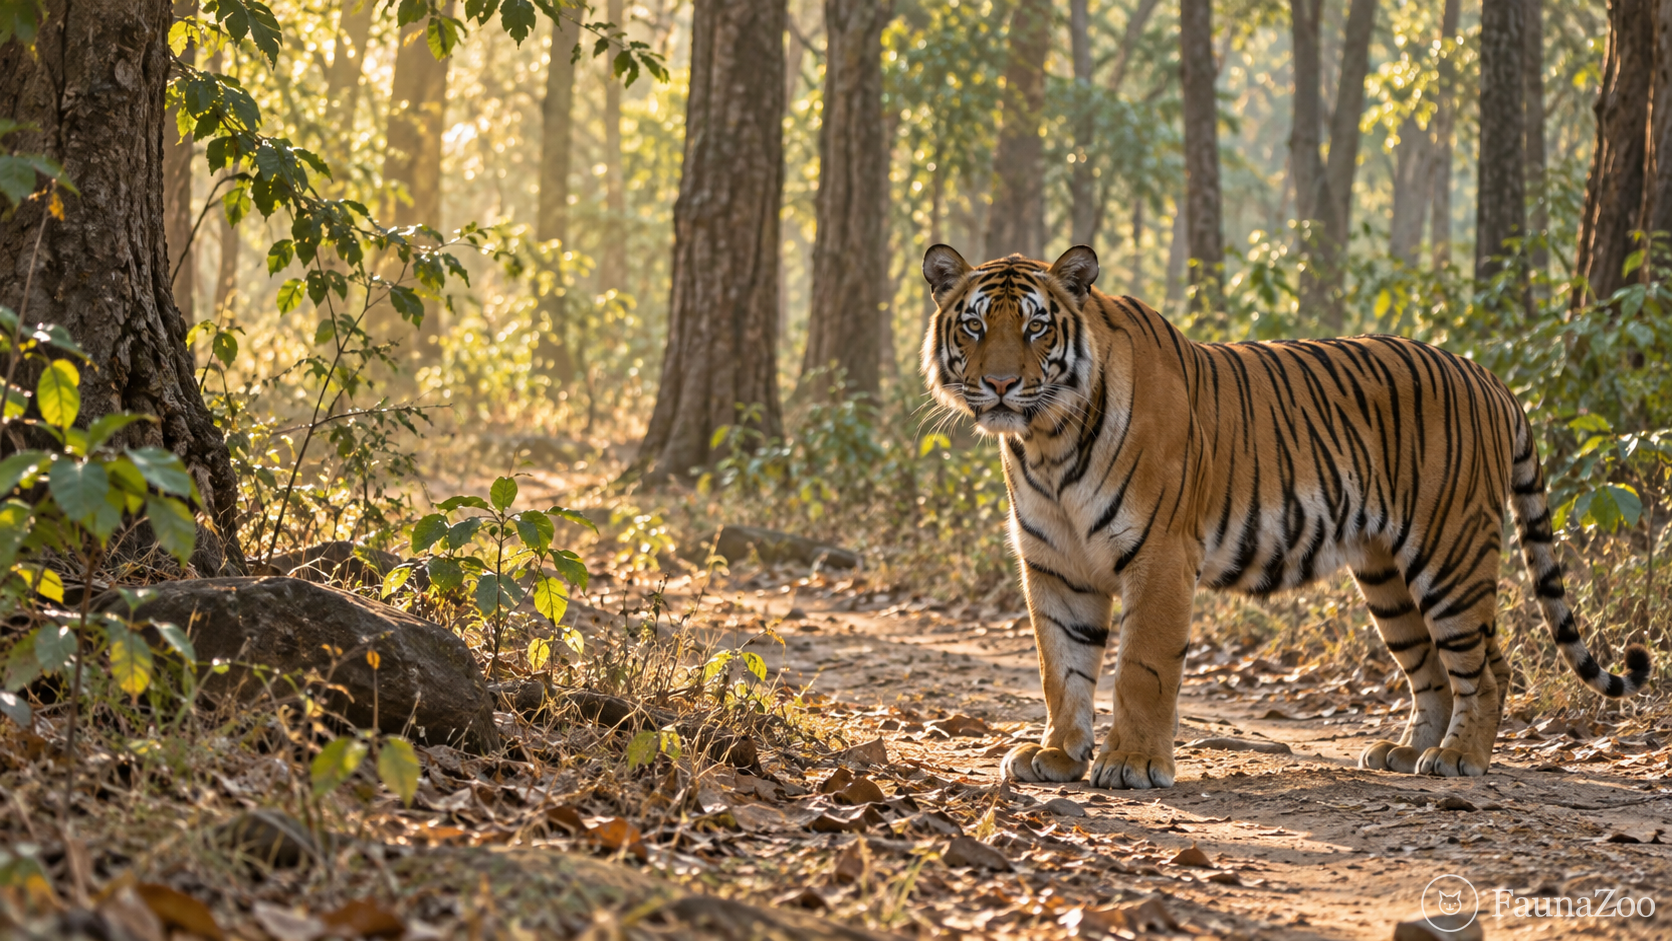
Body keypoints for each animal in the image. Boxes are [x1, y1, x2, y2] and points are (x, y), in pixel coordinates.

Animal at [919, 243, 1653, 789]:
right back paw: (1406, 751)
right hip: (1387, 576)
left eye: (1036, 326)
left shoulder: (1159, 554)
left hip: (1451, 554)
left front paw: (1132, 764)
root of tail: (1491, 376)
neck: (1046, 441)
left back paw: (1458, 758)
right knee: (1432, 670)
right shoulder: (1055, 562)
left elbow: (1141, 667)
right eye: (975, 325)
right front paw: (1059, 756)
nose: (1003, 384)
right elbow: (1061, 667)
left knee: (1488, 666)